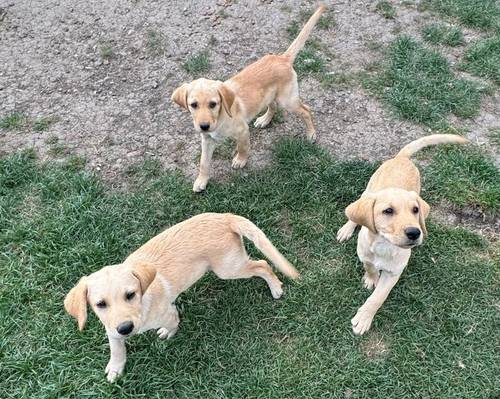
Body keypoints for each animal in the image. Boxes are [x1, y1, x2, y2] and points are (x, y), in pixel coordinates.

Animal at [62, 214, 296, 382]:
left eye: (130, 294)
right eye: (100, 304)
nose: (126, 328)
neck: (143, 304)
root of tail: (224, 217)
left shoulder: (168, 312)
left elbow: (172, 323)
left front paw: (168, 332)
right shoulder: (111, 329)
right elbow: (116, 348)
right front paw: (116, 368)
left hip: (229, 268)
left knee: (262, 265)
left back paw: (276, 288)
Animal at [172, 5, 326, 193]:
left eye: (213, 104)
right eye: (193, 105)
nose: (204, 126)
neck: (221, 118)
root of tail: (282, 58)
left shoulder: (243, 131)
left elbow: (243, 147)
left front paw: (241, 160)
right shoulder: (207, 140)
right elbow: (204, 163)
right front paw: (201, 180)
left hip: (288, 100)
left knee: (306, 110)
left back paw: (311, 134)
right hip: (270, 96)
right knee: (273, 106)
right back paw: (264, 120)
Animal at [336, 135, 468, 338]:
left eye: (415, 210)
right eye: (388, 211)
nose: (415, 232)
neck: (384, 245)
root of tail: (402, 158)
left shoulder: (393, 273)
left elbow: (378, 297)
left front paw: (364, 318)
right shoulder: (365, 256)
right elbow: (370, 267)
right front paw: (370, 278)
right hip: (368, 189)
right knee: (354, 210)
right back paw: (346, 229)